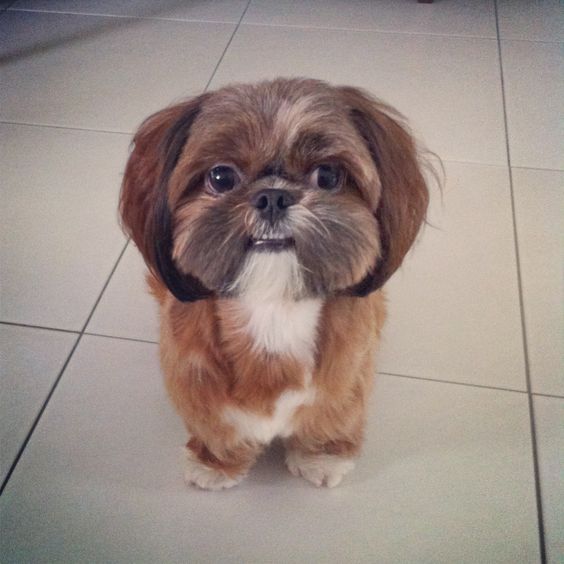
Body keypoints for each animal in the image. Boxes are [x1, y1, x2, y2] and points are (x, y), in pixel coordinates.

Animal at [118, 76, 428, 490]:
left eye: (328, 175)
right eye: (221, 177)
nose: (273, 197)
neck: (273, 310)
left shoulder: (345, 385)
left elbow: (330, 419)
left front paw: (321, 458)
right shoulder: (195, 384)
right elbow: (218, 427)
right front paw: (215, 464)